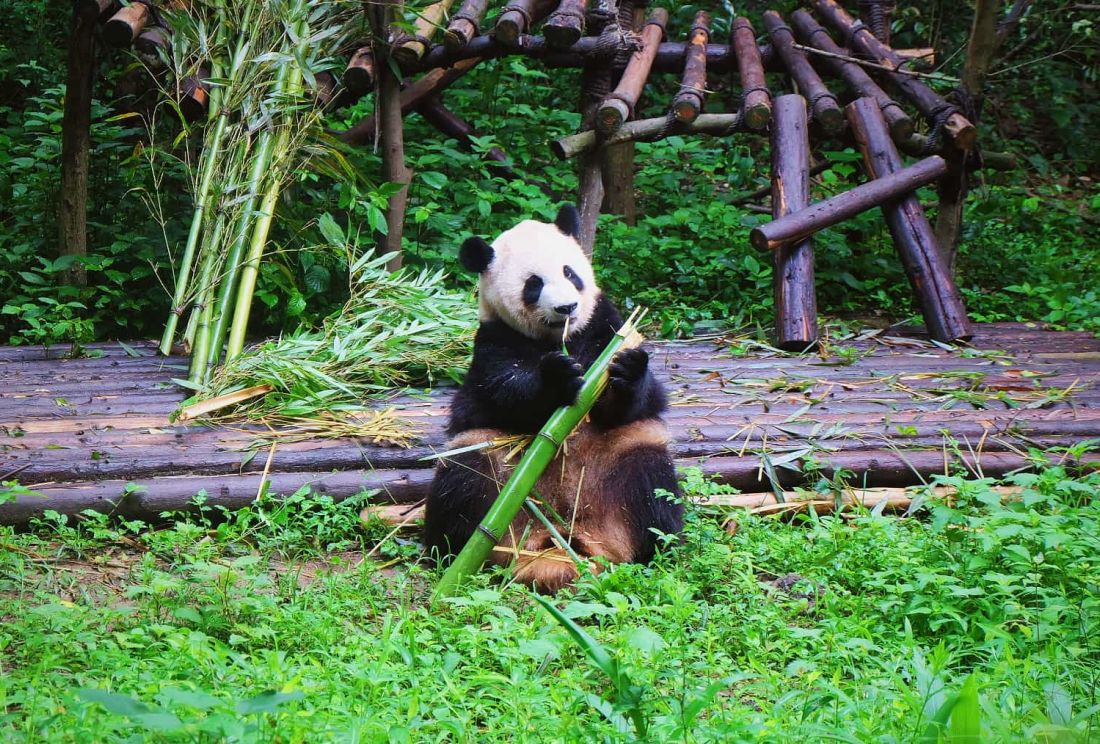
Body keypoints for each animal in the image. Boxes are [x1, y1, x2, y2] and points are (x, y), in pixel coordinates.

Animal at [424, 203, 682, 594]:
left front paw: (626, 370)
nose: (567, 307)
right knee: (462, 482)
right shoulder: (495, 341)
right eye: (534, 284)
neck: (561, 337)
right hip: (490, 462)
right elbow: (502, 393)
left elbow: (638, 399)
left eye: (570, 272)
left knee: (652, 488)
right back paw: (452, 555)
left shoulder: (603, 324)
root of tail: (561, 536)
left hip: (624, 457)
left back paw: (657, 552)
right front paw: (557, 377)